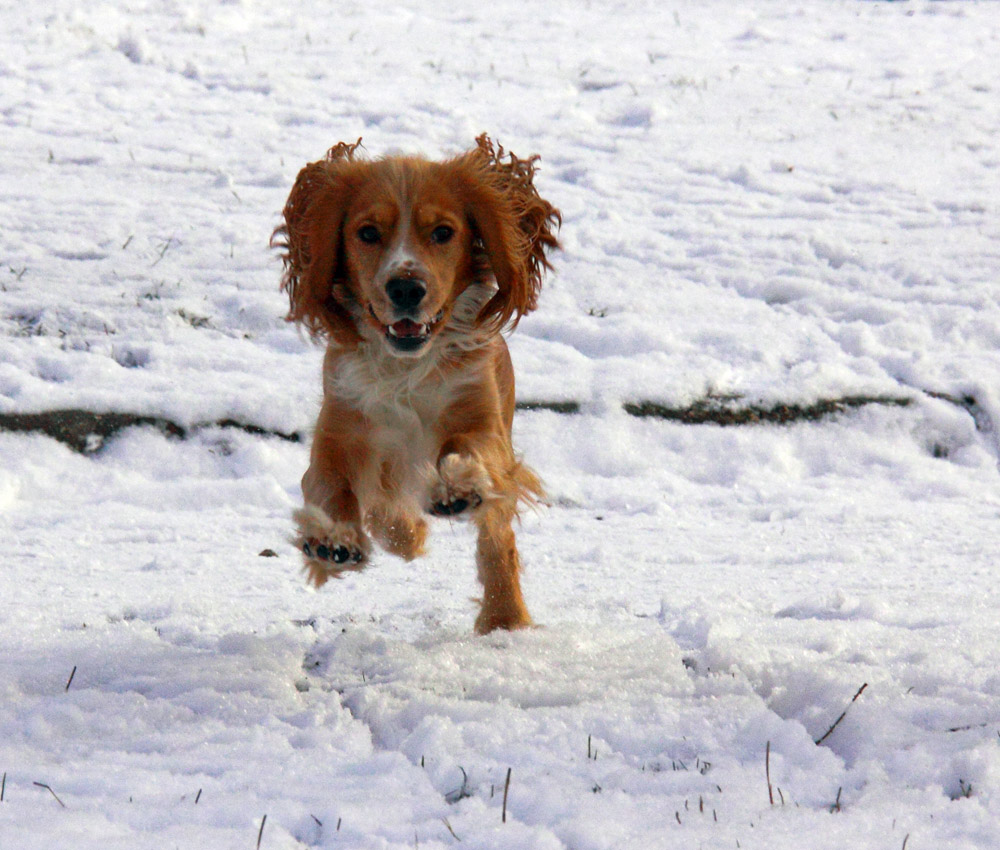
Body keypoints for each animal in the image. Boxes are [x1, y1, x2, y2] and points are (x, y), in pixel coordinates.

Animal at [270, 134, 560, 628]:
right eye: (368, 233)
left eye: (443, 232)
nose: (406, 287)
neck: (405, 371)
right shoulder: (339, 430)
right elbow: (330, 486)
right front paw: (333, 538)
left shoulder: (482, 419)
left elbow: (470, 451)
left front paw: (456, 485)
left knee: (496, 541)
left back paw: (504, 616)